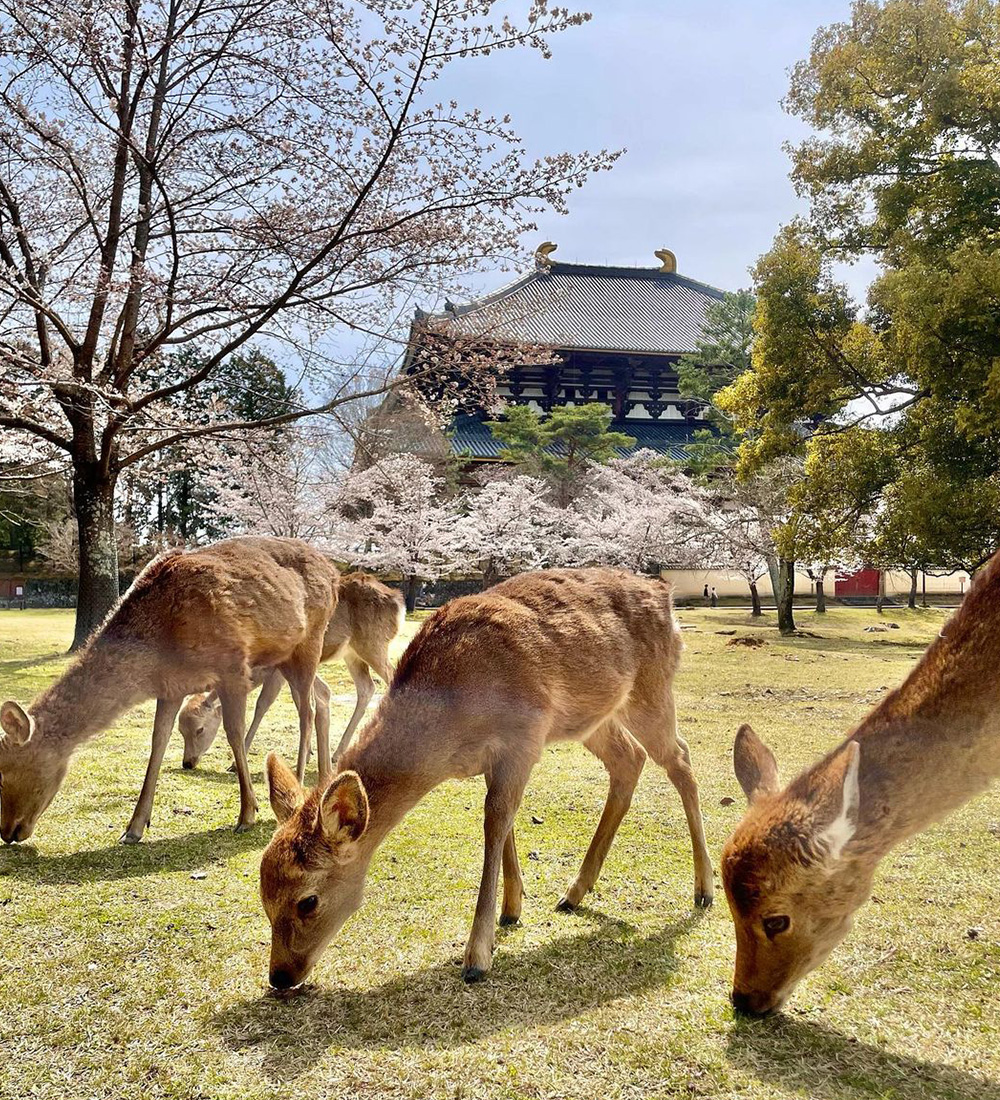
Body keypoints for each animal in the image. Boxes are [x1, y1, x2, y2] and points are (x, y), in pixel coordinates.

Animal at [0, 539, 338, 840]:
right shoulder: (171, 686)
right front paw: (134, 828)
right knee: (319, 698)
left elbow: (234, 733)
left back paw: (298, 780)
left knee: (306, 710)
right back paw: (323, 776)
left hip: (310, 643)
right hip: (287, 659)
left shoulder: (233, 667)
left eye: (1, 776)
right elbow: (158, 741)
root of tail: (334, 573)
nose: (8, 833)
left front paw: (247, 814)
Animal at [179, 576, 402, 774]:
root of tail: (398, 602)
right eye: (180, 730)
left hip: (373, 645)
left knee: (392, 678)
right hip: (352, 655)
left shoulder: (277, 670)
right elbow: (304, 699)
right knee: (367, 687)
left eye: (199, 729)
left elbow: (263, 703)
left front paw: (234, 763)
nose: (187, 763)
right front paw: (310, 753)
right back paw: (337, 753)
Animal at [255, 567, 708, 990]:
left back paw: (703, 890)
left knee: (681, 758)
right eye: (263, 896)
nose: (280, 976)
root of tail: (666, 594)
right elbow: (503, 822)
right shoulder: (495, 760)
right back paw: (574, 893)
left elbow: (495, 820)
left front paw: (477, 956)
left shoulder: (525, 736)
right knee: (629, 759)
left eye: (308, 901)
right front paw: (512, 909)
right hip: (592, 718)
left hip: (651, 690)